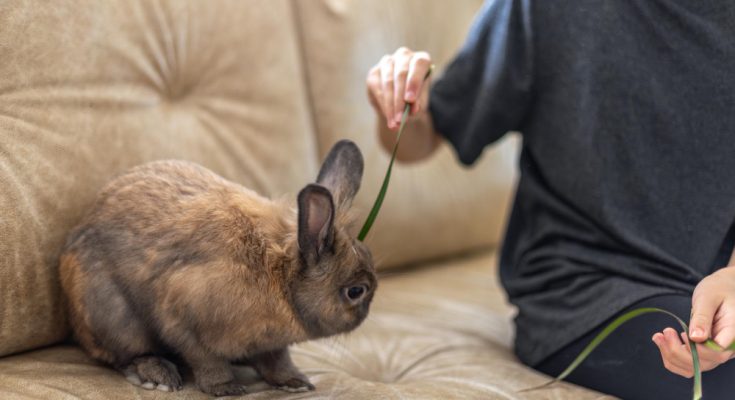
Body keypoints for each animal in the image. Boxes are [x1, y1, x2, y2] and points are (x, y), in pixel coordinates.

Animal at [58, 139, 376, 396]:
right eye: (356, 291)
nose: (365, 315)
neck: (280, 277)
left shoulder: (271, 345)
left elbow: (277, 360)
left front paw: (295, 382)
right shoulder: (181, 317)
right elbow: (205, 359)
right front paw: (225, 388)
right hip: (111, 315)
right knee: (127, 354)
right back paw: (157, 376)